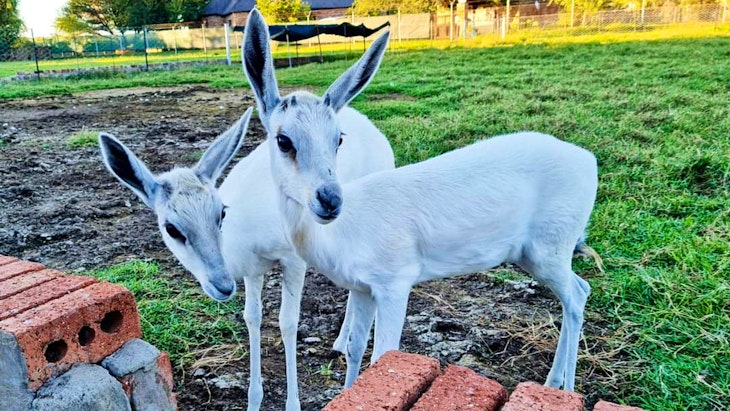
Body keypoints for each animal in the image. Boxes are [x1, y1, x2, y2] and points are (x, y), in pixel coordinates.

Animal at [98, 105, 394, 409]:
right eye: (171, 228)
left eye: (221, 212)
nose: (223, 285)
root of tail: (365, 121)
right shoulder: (254, 271)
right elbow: (252, 317)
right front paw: (254, 400)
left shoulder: (293, 260)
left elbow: (288, 323)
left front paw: (293, 404)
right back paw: (338, 342)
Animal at [243, 8, 600, 392]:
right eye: (283, 140)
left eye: (338, 138)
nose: (330, 200)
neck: (343, 233)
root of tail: (588, 160)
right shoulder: (363, 288)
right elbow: (355, 348)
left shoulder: (395, 284)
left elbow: (381, 357)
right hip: (534, 257)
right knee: (579, 289)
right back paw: (552, 382)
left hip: (550, 251)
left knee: (577, 296)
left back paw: (566, 387)